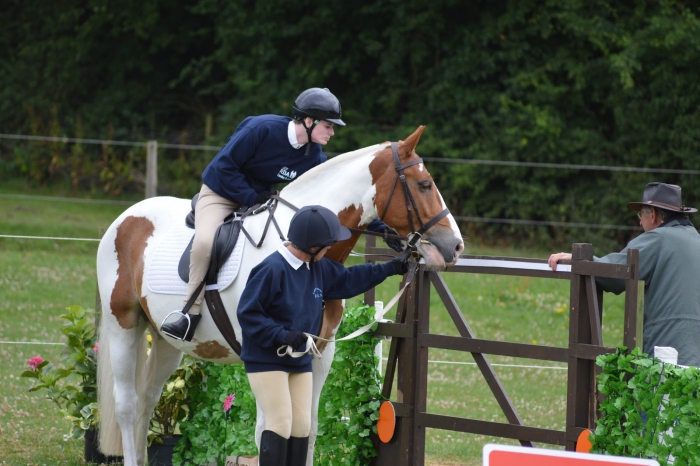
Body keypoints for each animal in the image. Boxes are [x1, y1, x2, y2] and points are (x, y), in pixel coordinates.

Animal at [94, 125, 464, 464]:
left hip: (167, 342)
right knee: (127, 406)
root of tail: (126, 218)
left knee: (148, 399)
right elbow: (268, 431)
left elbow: (308, 427)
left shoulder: (318, 353)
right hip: (123, 325)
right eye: (425, 184)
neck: (304, 250)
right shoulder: (262, 356)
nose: (456, 247)